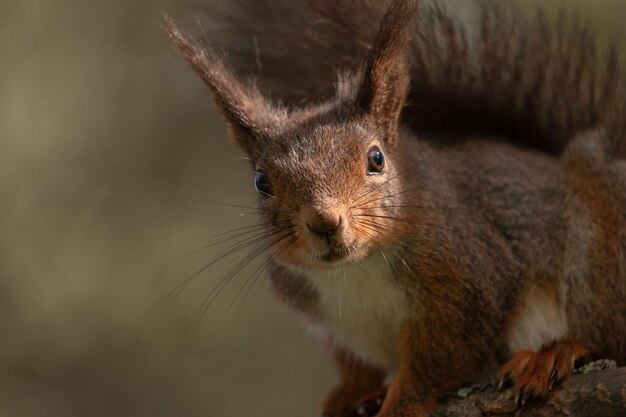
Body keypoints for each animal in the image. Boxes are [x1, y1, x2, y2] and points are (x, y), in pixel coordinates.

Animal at [166, 0, 624, 416]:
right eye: (261, 182)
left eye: (376, 159)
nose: (324, 222)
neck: (354, 271)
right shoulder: (319, 311)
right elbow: (357, 367)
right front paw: (350, 395)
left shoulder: (469, 286)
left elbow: (437, 362)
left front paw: (398, 404)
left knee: (605, 332)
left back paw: (554, 354)